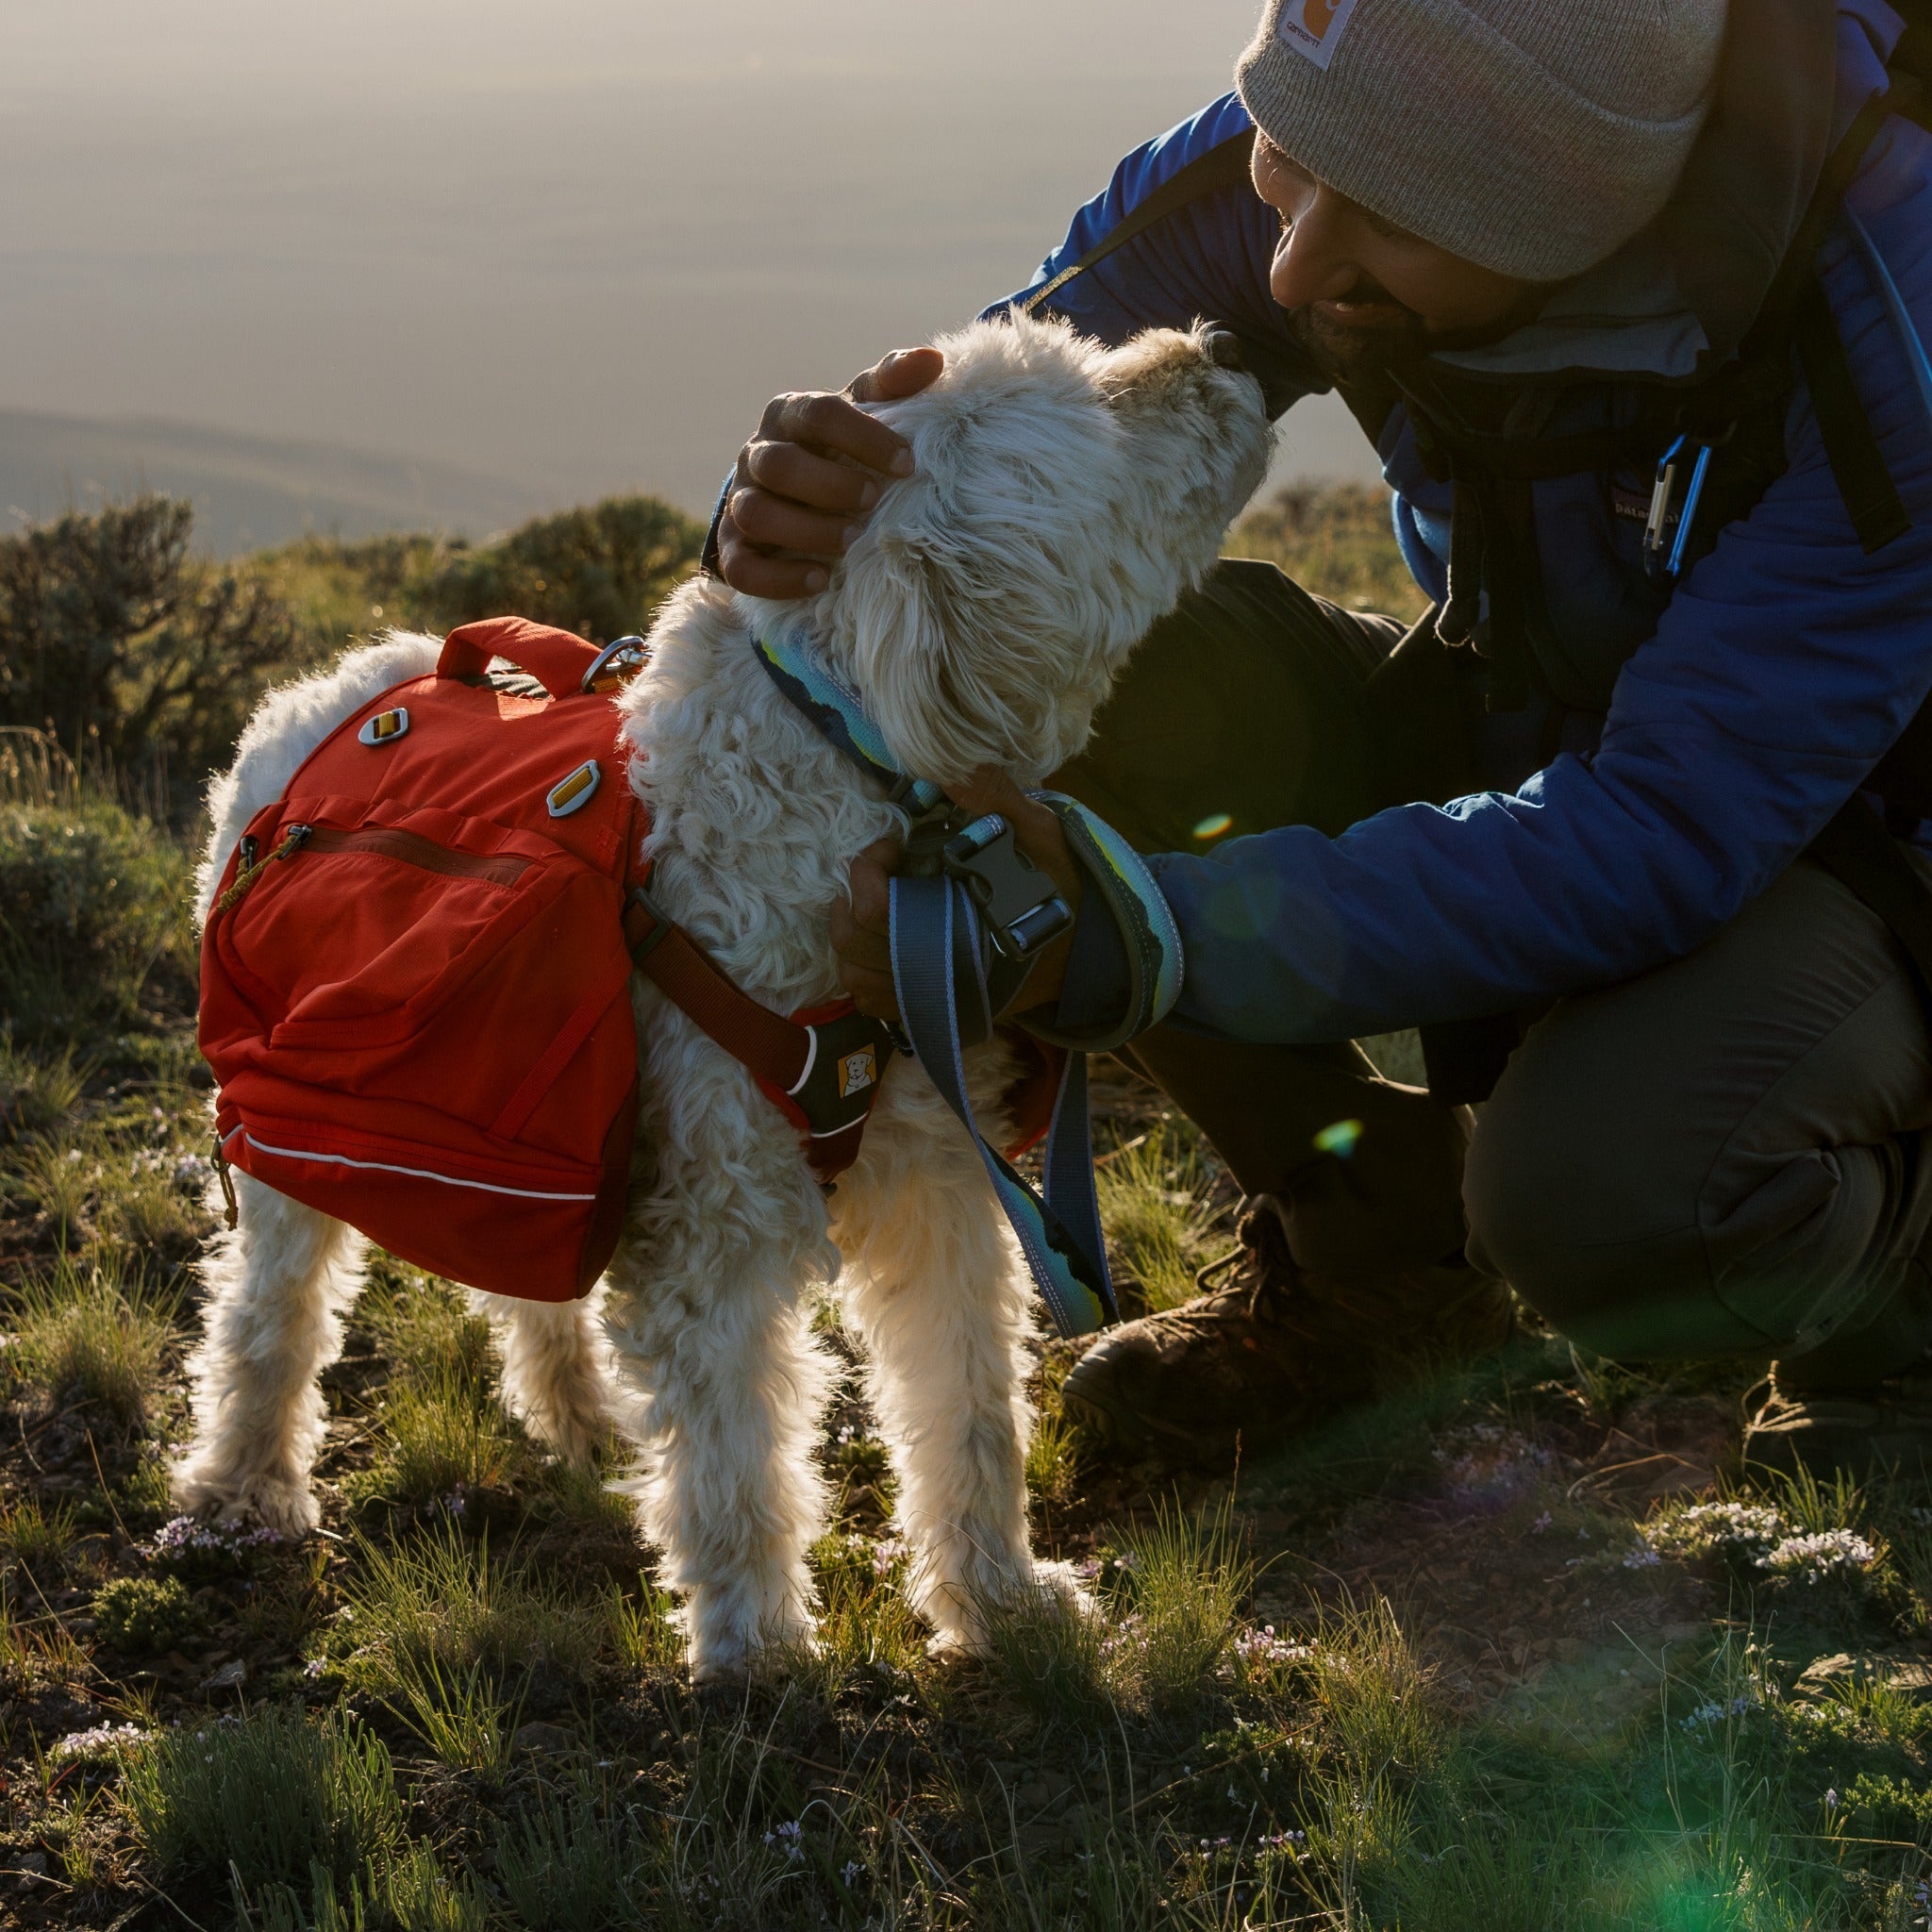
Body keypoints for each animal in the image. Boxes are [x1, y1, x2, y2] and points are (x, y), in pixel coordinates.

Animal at [174, 312, 1267, 1676]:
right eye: (1088, 409)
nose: (1221, 342)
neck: (842, 782)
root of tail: (326, 686)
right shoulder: (716, 1219)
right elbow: (739, 1456)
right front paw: (757, 1644)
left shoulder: (938, 1182)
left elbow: (967, 1406)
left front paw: (1001, 1597)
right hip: (286, 1139)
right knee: (268, 1313)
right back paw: (244, 1485)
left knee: (526, 1292)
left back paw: (579, 1416)